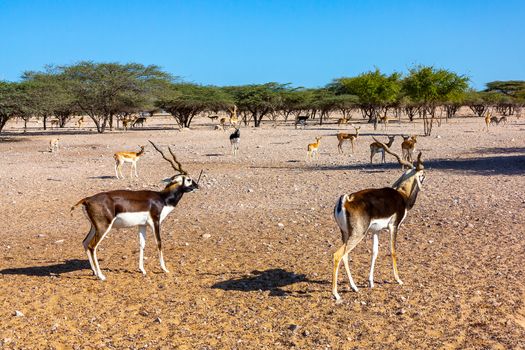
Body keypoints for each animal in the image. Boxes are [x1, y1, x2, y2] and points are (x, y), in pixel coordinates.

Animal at [71, 141, 199, 280]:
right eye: (188, 179)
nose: (197, 186)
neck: (162, 198)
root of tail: (87, 199)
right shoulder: (155, 221)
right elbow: (159, 242)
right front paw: (164, 269)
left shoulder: (142, 225)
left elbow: (142, 244)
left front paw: (142, 270)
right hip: (103, 227)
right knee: (92, 246)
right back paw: (101, 276)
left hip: (94, 227)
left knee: (85, 242)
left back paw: (94, 272)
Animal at [332, 141, 426, 302]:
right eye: (423, 175)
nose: (424, 179)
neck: (402, 195)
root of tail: (345, 200)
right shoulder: (394, 226)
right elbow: (392, 250)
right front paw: (398, 279)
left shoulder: (376, 231)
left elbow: (375, 252)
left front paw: (370, 282)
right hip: (357, 235)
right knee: (338, 255)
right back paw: (336, 294)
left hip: (345, 234)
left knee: (345, 256)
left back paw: (354, 287)